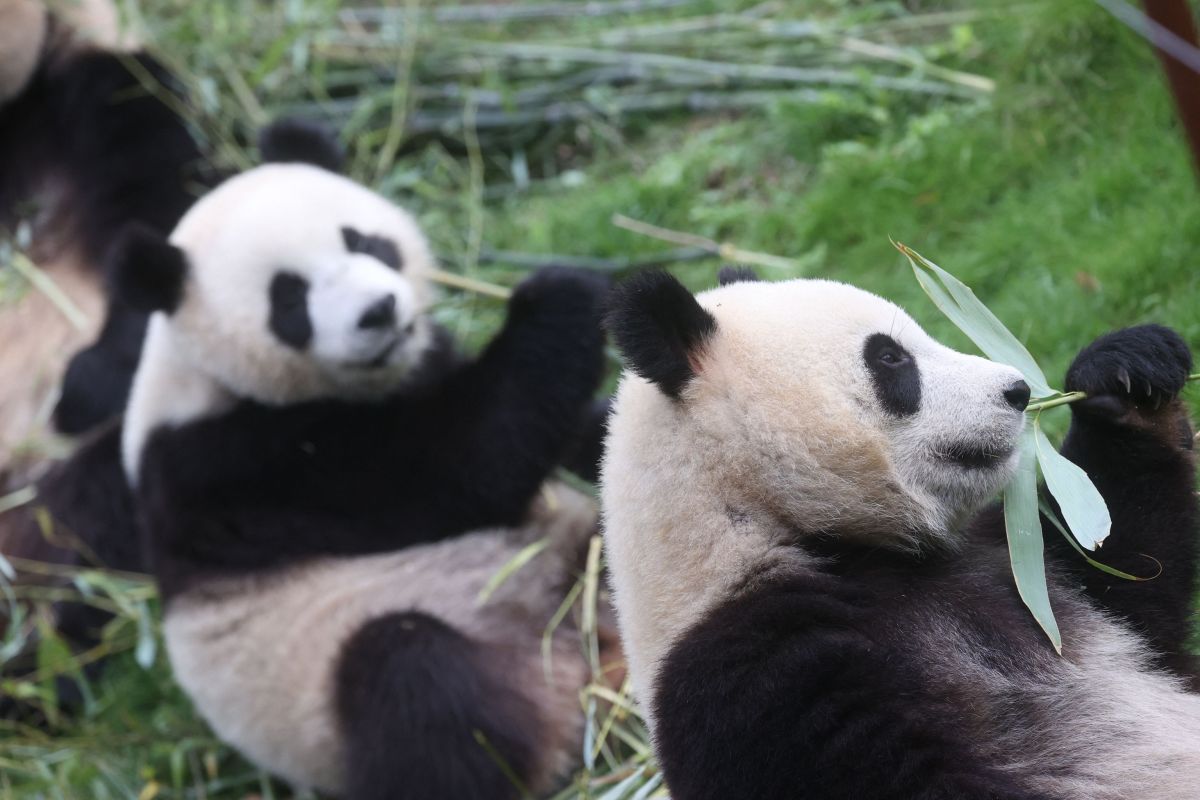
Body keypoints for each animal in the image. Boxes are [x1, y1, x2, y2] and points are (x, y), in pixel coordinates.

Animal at [103, 122, 619, 796]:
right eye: (288, 299)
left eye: (363, 241)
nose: (379, 312)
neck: (201, 378)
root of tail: (583, 677)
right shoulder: (239, 467)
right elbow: (455, 467)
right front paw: (558, 298)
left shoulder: (424, 363)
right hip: (358, 685)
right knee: (414, 684)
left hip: (577, 555)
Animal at [604, 268, 1200, 800]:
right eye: (890, 358)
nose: (1016, 390)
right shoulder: (750, 681)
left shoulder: (1014, 570)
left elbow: (1131, 579)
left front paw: (1124, 374)